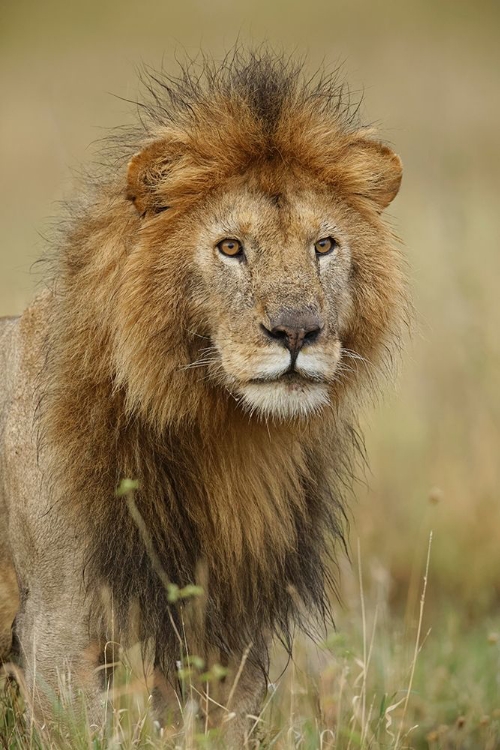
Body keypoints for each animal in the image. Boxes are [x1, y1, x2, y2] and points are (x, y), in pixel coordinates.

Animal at [0, 53, 404, 748]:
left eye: (323, 246)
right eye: (231, 247)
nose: (297, 331)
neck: (223, 438)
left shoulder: (229, 625)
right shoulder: (58, 623)